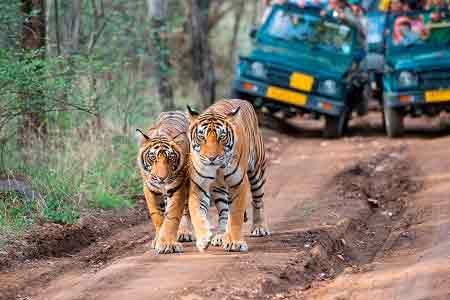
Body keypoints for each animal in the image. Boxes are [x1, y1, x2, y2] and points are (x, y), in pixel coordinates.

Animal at [187, 99, 270, 252]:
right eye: (202, 137)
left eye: (222, 137)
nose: (211, 158)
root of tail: (243, 100)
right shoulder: (199, 186)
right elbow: (197, 214)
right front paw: (204, 239)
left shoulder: (238, 184)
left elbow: (236, 215)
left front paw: (236, 242)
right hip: (219, 189)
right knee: (224, 212)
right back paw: (221, 236)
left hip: (257, 172)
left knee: (257, 201)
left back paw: (259, 227)